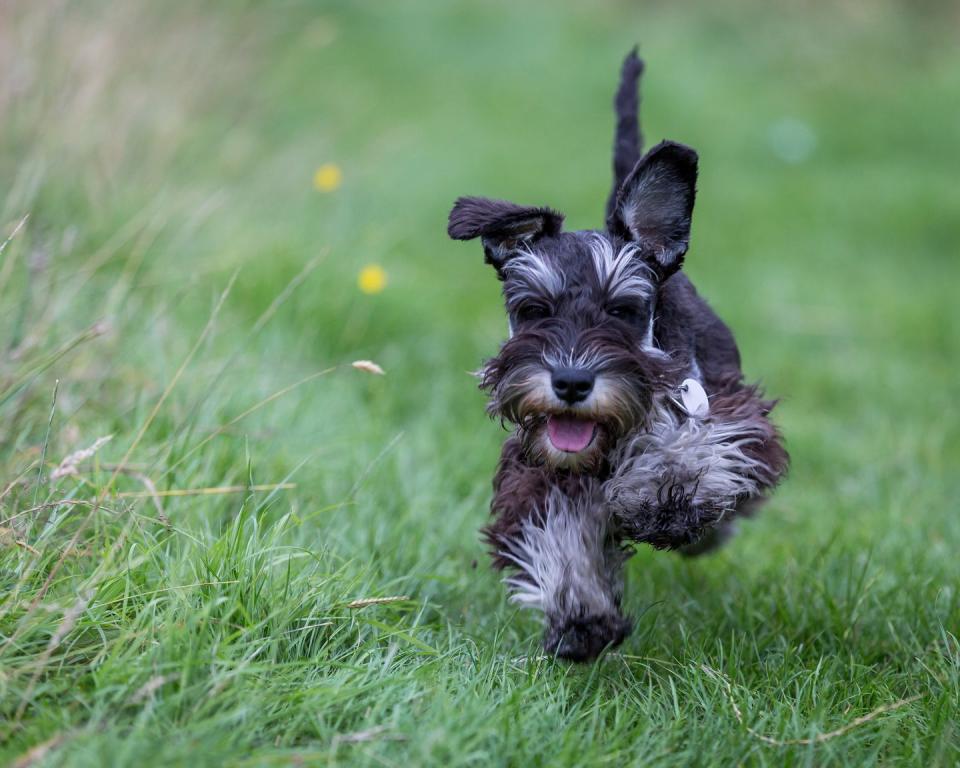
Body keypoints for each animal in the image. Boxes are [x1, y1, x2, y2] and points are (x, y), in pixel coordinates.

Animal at [446, 49, 784, 660]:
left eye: (623, 311)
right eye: (533, 309)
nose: (571, 382)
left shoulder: (722, 406)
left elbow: (687, 445)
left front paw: (664, 494)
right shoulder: (535, 474)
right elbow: (559, 531)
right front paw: (581, 615)